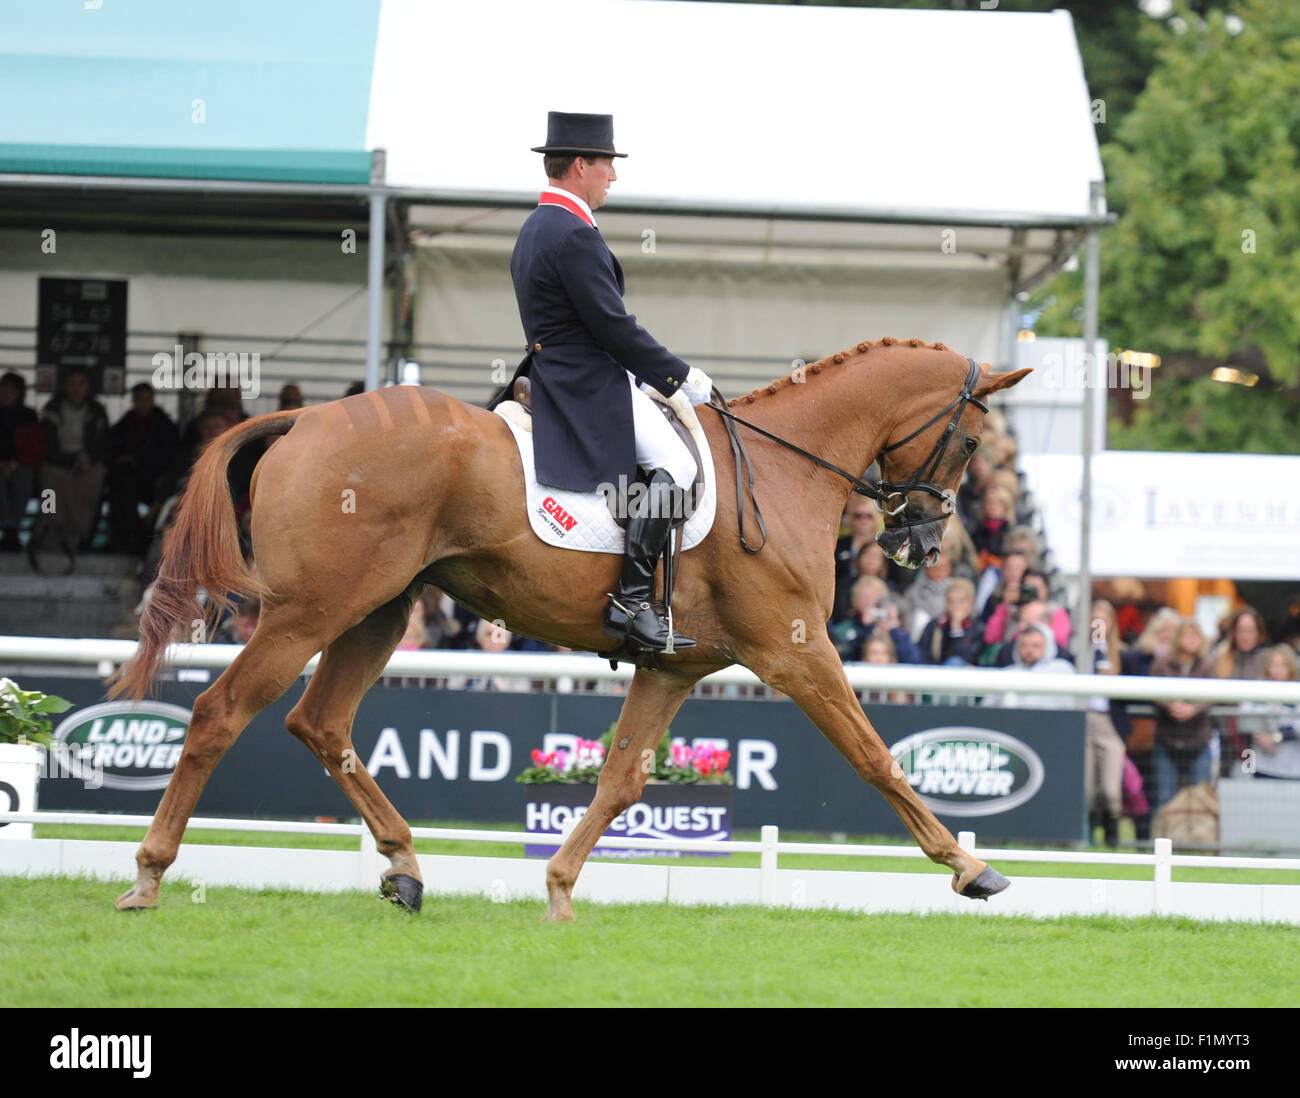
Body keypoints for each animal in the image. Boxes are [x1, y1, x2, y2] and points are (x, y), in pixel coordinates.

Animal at [108, 337, 1029, 919]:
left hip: (376, 611)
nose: (922, 546)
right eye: (970, 441)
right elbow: (875, 755)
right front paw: (971, 869)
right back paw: (148, 876)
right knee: (221, 713)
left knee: (320, 722)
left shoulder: (674, 667)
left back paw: (405, 868)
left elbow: (621, 780)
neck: (784, 465)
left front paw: (557, 887)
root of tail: (302, 418)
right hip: (311, 611)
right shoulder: (796, 651)